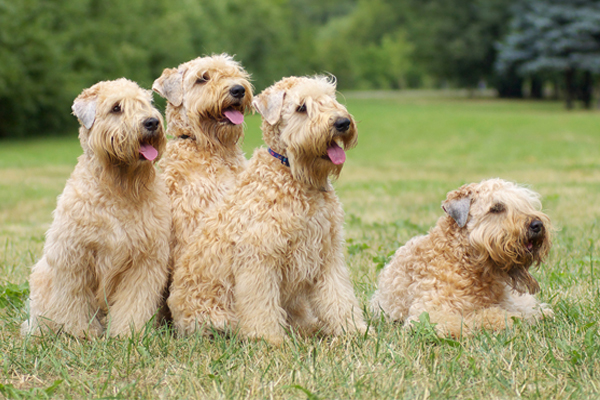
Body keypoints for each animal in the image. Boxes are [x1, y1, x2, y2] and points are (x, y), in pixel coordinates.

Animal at [21, 78, 171, 338]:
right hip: (41, 278)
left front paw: (127, 333)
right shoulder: (74, 256)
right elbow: (74, 300)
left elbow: (134, 302)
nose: (151, 122)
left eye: (145, 103)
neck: (118, 188)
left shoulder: (144, 261)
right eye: (116, 108)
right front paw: (79, 333)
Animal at [166, 76, 368, 346]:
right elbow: (260, 304)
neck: (293, 176)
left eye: (330, 98)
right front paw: (269, 339)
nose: (342, 123)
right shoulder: (259, 258)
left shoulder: (327, 253)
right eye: (301, 107)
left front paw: (354, 331)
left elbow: (339, 297)